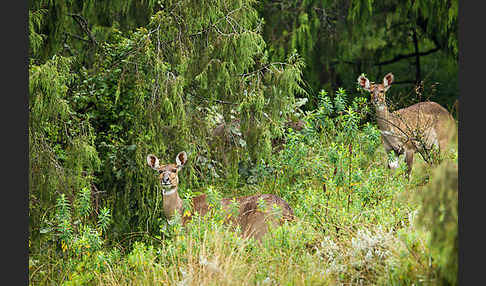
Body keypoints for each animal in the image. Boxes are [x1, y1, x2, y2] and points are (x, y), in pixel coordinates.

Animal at [146, 151, 294, 240]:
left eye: (174, 170)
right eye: (159, 171)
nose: (166, 180)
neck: (181, 211)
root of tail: (287, 213)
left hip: (259, 229)